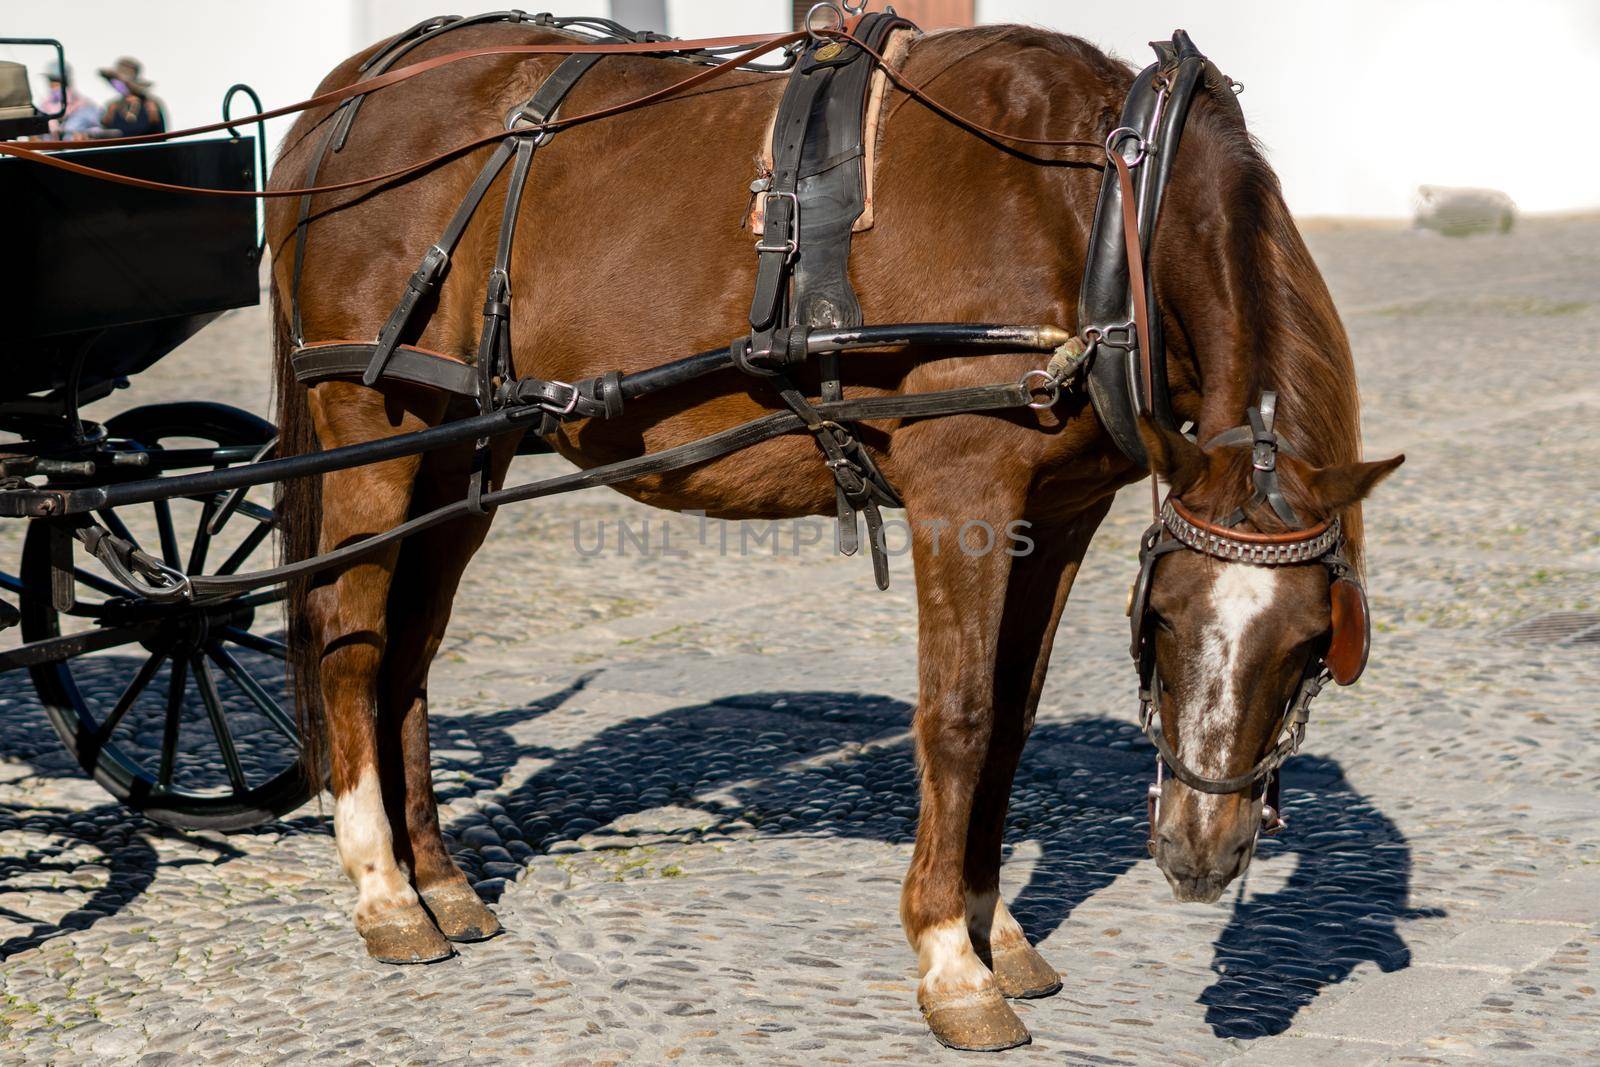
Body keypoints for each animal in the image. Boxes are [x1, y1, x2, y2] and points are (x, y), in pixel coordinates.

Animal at [272, 16, 1401, 1049]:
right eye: (1162, 622)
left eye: (1314, 646)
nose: (1200, 857)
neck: (1106, 202)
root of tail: (349, 89)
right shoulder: (965, 489)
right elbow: (960, 717)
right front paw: (952, 960)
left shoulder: (1061, 510)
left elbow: (1014, 717)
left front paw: (998, 931)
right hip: (372, 425)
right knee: (349, 637)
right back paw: (384, 891)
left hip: (466, 444)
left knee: (409, 650)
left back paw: (441, 880)